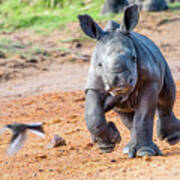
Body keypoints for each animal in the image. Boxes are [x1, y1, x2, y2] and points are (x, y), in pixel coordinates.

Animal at [78, 4, 180, 158]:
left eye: (133, 58)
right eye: (99, 64)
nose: (119, 82)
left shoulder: (151, 80)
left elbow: (144, 114)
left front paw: (145, 152)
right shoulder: (93, 86)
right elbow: (92, 114)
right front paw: (107, 145)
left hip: (159, 58)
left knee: (167, 96)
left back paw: (171, 139)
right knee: (126, 115)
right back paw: (128, 149)